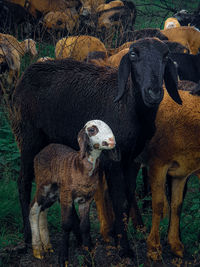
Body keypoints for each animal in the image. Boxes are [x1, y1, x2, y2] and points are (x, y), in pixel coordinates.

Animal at [28, 120, 115, 266]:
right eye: (92, 129)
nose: (112, 141)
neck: (80, 166)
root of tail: (42, 151)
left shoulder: (87, 199)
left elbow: (85, 226)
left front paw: (89, 258)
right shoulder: (66, 196)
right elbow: (66, 225)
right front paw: (63, 259)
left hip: (54, 192)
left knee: (43, 210)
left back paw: (47, 246)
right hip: (43, 184)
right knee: (34, 208)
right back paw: (38, 250)